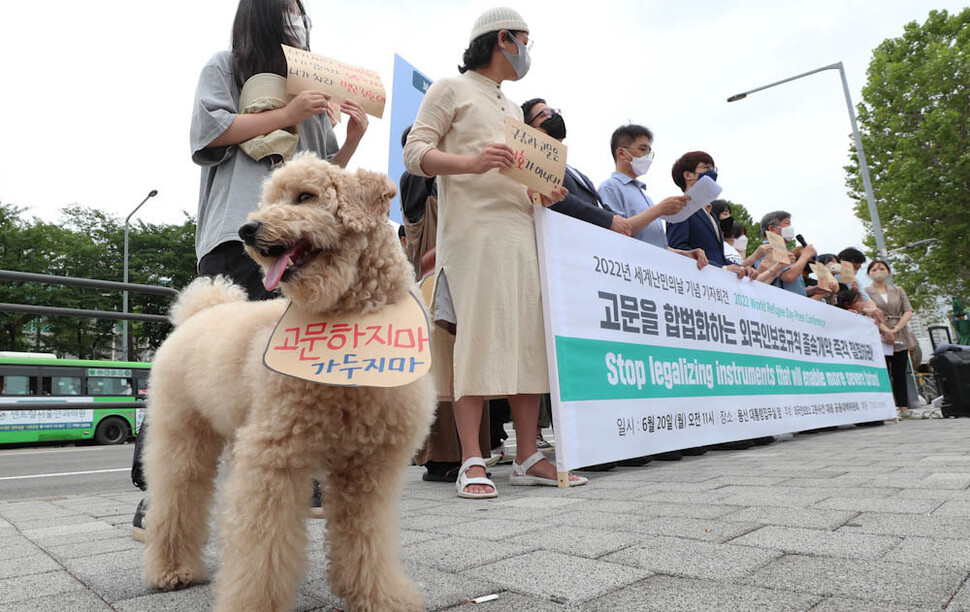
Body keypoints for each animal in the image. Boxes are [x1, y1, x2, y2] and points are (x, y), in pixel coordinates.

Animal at [141, 154, 434, 612]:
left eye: (305, 197)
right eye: (269, 200)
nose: (248, 229)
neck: (344, 321)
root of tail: (198, 312)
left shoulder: (369, 465)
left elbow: (366, 536)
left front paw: (380, 595)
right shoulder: (275, 456)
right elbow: (264, 546)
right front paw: (253, 604)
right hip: (183, 433)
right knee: (177, 494)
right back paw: (172, 570)